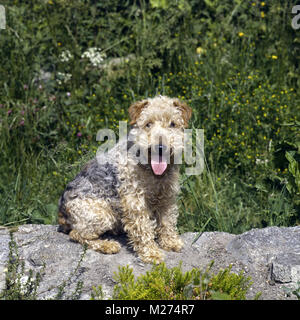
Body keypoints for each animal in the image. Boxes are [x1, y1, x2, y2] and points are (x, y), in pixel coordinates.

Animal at [58, 94, 192, 262]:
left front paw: (170, 242)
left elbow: (167, 221)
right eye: (148, 124)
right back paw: (108, 245)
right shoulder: (135, 200)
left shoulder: (166, 196)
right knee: (77, 234)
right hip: (101, 214)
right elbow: (143, 229)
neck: (152, 171)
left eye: (173, 124)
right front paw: (151, 253)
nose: (160, 147)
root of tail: (61, 213)